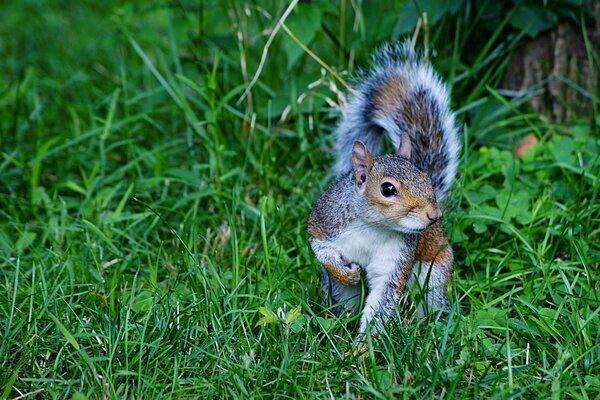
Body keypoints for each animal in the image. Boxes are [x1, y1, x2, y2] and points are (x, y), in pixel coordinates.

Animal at [308, 40, 462, 336]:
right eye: (388, 189)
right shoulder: (324, 220)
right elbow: (320, 247)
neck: (373, 226)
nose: (433, 215)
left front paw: (362, 347)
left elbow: (382, 299)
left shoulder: (396, 259)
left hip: (433, 272)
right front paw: (344, 271)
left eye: (426, 180)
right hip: (340, 292)